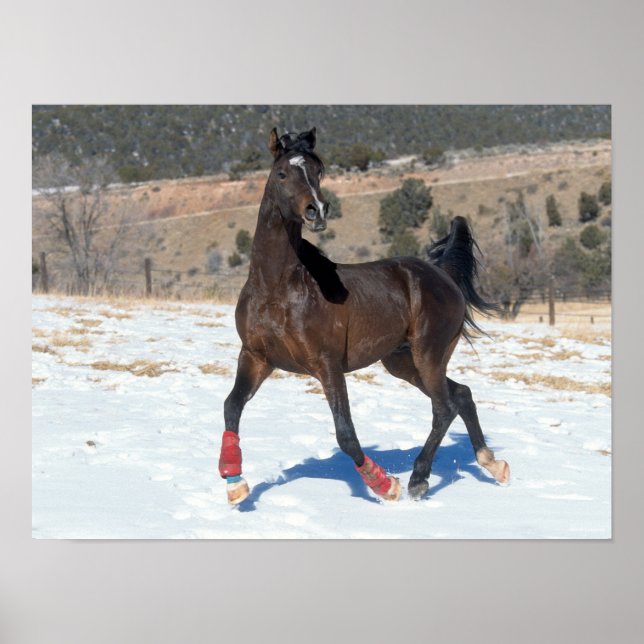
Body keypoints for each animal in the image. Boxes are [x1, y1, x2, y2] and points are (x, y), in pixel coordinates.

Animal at [218, 127, 510, 505]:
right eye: (281, 173)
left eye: (318, 171)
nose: (317, 210)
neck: (277, 289)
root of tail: (442, 274)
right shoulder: (256, 356)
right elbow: (232, 407)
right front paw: (234, 484)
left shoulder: (326, 364)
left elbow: (346, 433)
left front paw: (385, 485)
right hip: (401, 361)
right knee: (461, 395)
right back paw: (492, 464)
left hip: (428, 353)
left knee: (443, 407)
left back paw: (418, 479)